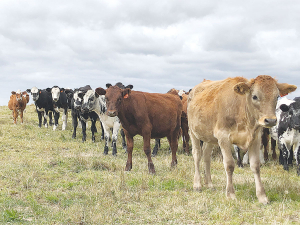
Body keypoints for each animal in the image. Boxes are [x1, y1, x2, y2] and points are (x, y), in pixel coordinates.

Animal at [188, 76, 296, 204]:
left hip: (209, 137)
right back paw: (197, 184)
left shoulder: (255, 139)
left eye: (277, 96)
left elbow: (255, 166)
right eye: (254, 96)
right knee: (197, 155)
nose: (270, 120)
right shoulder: (223, 137)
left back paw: (209, 183)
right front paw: (230, 194)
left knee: (206, 156)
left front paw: (262, 196)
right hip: (193, 132)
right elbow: (229, 165)